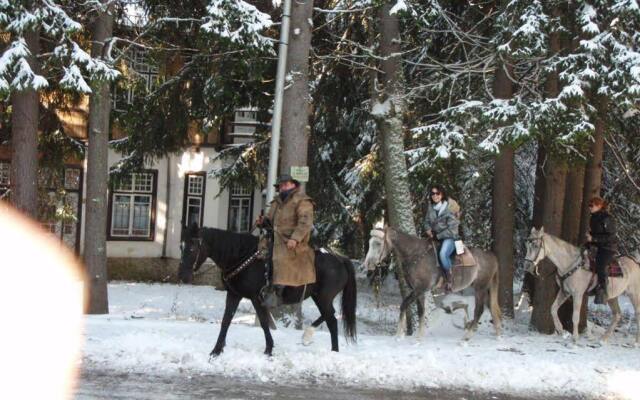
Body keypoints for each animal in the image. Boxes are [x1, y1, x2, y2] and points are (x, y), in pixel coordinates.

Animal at [179, 225, 356, 356]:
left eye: (193, 247)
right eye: (181, 246)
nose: (183, 276)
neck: (241, 257)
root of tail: (340, 258)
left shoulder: (256, 298)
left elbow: (264, 322)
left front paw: (269, 349)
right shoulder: (234, 295)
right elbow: (226, 321)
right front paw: (216, 350)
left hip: (323, 297)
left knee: (331, 319)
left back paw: (325, 346)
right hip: (318, 297)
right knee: (330, 317)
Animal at [362, 227, 502, 340]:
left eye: (378, 243)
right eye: (369, 243)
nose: (368, 264)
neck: (416, 255)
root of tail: (491, 256)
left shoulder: (420, 289)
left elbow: (405, 305)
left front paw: (399, 334)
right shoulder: (418, 291)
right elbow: (420, 311)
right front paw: (418, 337)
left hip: (480, 288)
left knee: (479, 310)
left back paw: (466, 338)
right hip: (486, 289)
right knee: (491, 308)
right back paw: (498, 336)